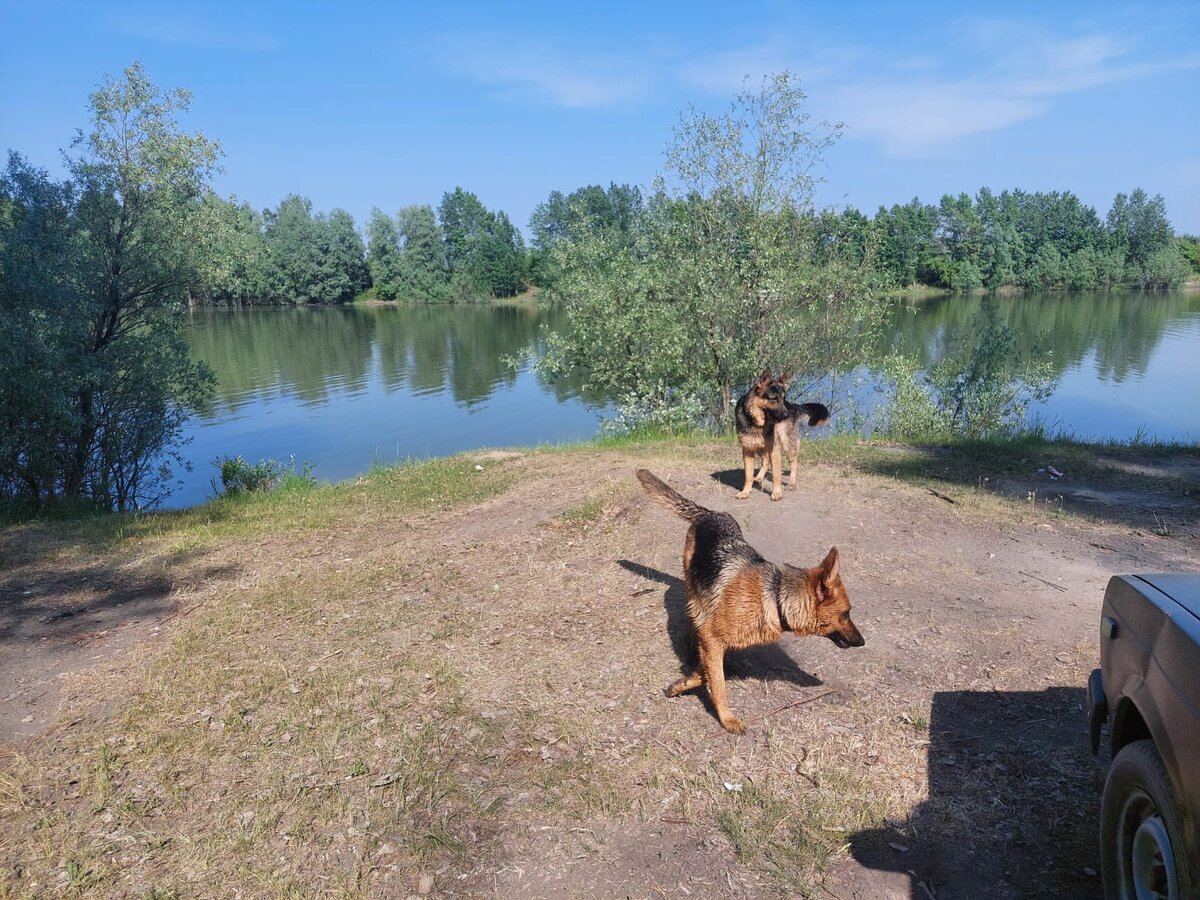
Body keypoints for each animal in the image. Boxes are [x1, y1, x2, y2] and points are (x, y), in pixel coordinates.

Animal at [638, 468, 864, 734]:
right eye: (846, 613)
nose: (862, 642)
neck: (775, 598)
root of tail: (710, 513)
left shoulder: (718, 644)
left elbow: (710, 672)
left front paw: (683, 683)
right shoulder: (712, 638)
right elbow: (718, 681)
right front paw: (726, 718)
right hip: (692, 588)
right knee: (691, 616)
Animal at [734, 369, 792, 504]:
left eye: (783, 399)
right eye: (773, 399)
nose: (787, 415)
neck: (758, 423)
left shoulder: (774, 449)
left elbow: (776, 475)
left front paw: (776, 493)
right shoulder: (748, 449)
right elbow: (748, 475)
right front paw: (746, 492)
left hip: (785, 444)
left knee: (793, 461)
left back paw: (792, 483)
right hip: (760, 447)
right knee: (764, 461)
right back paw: (759, 477)